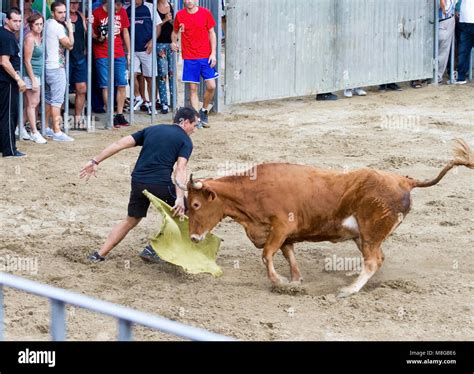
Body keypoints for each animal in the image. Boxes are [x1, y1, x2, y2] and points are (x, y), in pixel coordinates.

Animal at [183, 140, 472, 298]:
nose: (194, 237)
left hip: (370, 233)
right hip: (364, 236)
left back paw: (349, 290)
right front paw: (295, 281)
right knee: (376, 259)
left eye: (196, 204)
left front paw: (279, 283)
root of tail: (403, 180)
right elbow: (289, 255)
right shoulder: (286, 234)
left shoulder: (281, 226)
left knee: (373, 260)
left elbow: (267, 254)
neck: (253, 190)